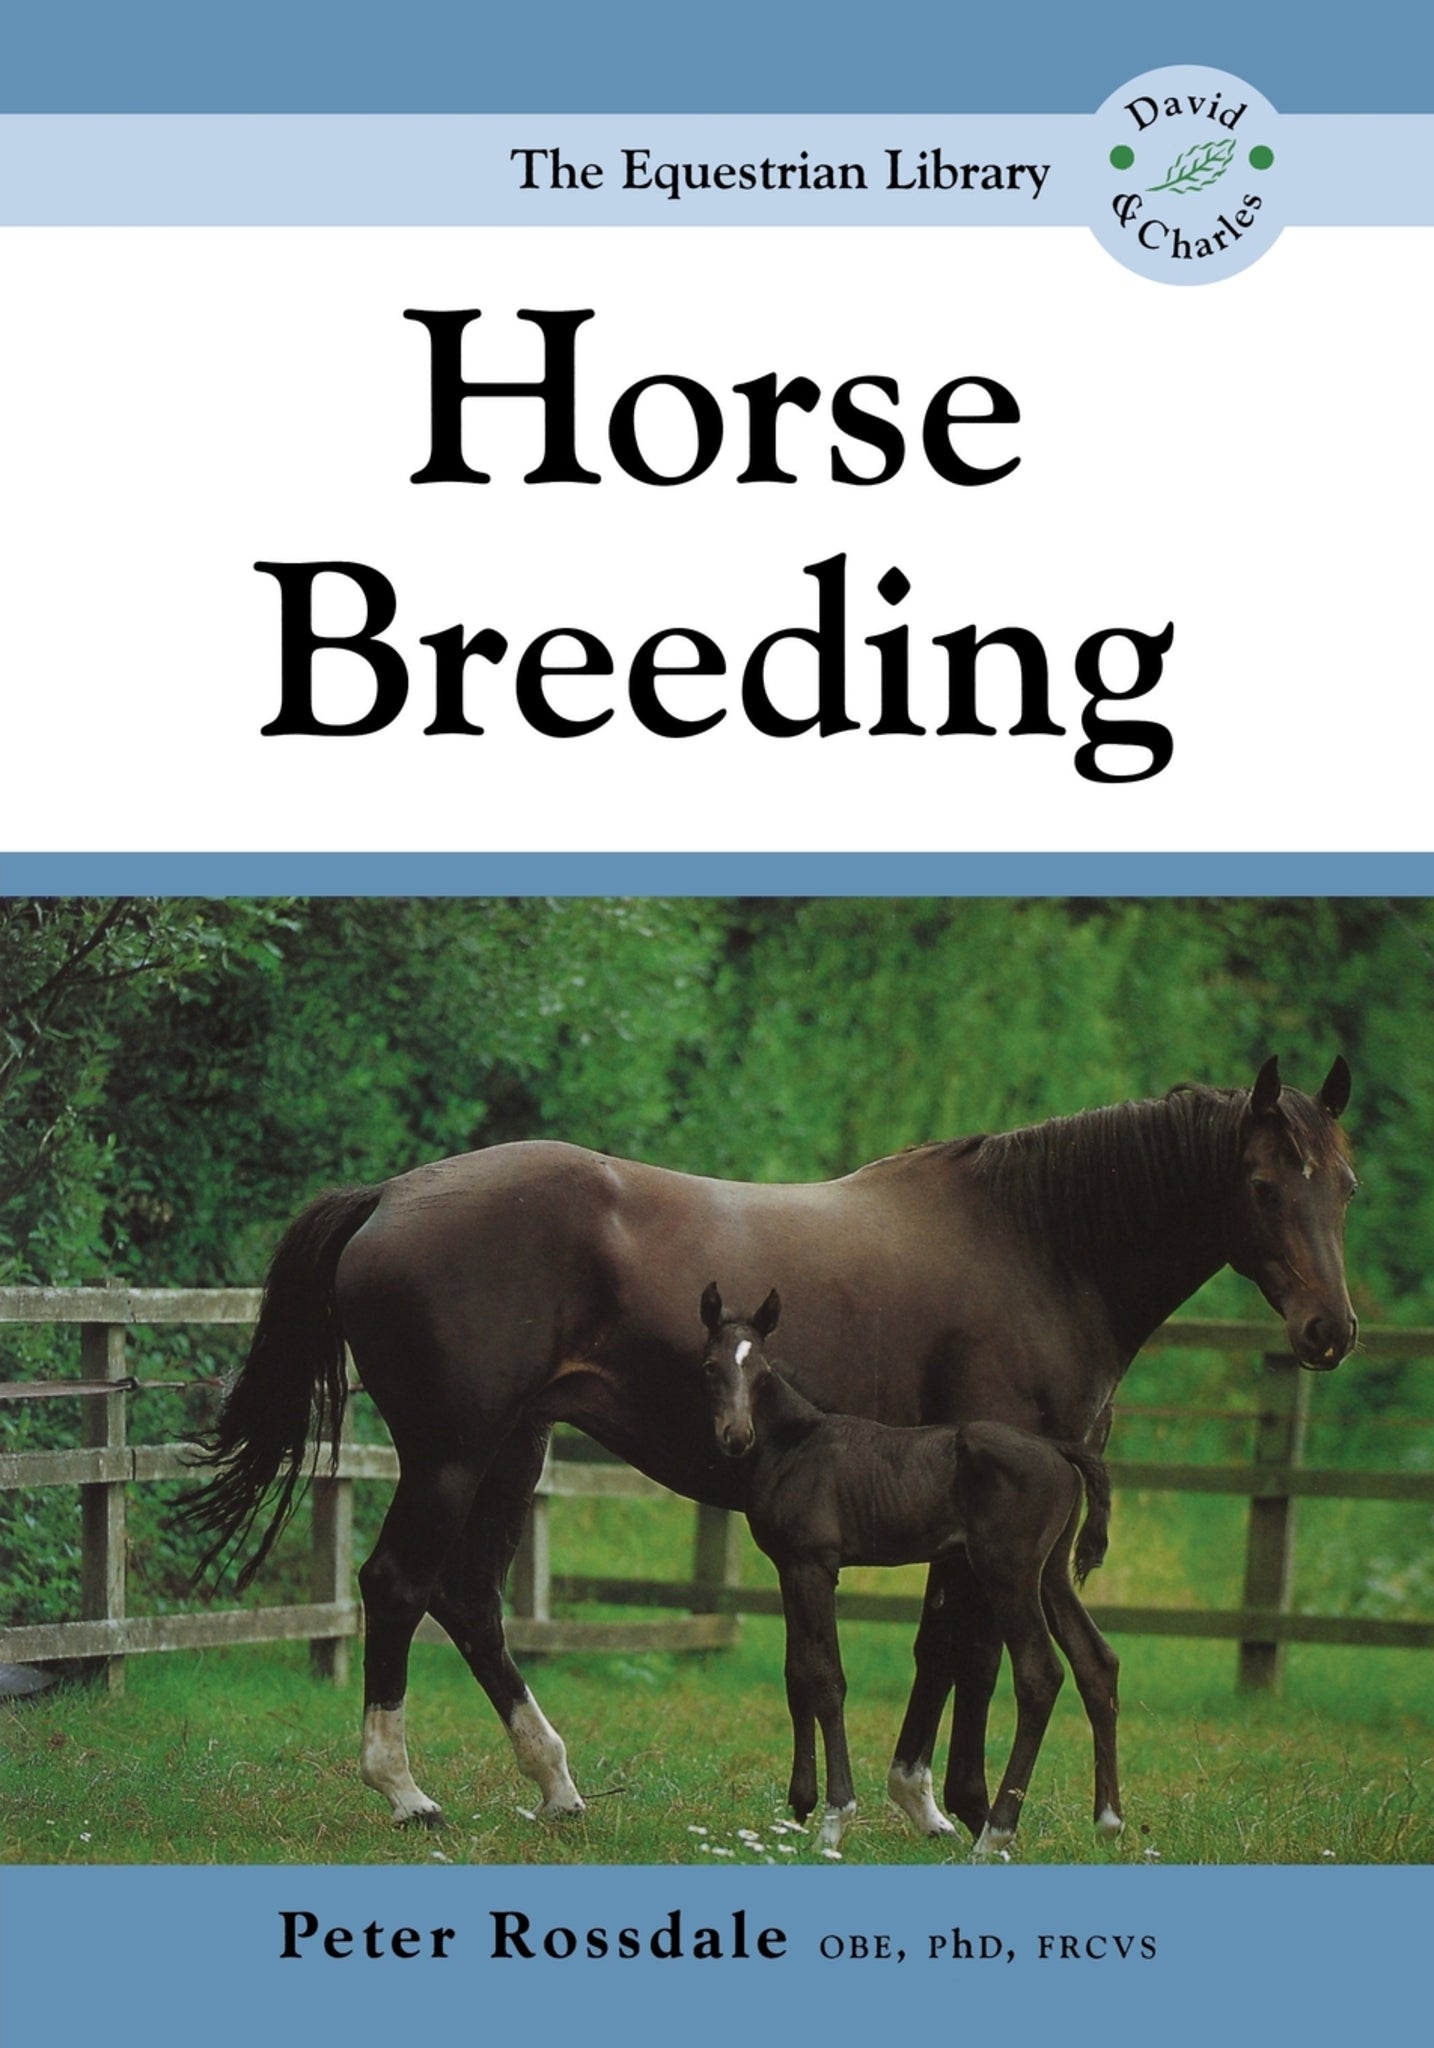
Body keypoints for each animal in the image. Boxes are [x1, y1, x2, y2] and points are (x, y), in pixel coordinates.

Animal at [697, 1284, 1118, 1857]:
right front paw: (799, 1808)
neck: (797, 1444)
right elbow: (798, 1673)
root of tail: (1058, 1447)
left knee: (1040, 1675)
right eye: (710, 1366)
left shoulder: (815, 1566)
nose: (735, 1436)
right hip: (1049, 1572)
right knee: (1097, 1661)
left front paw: (834, 1819)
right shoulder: (788, 1566)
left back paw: (995, 1834)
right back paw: (1109, 1821)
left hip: (1007, 1573)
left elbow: (826, 1678)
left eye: (761, 1373)